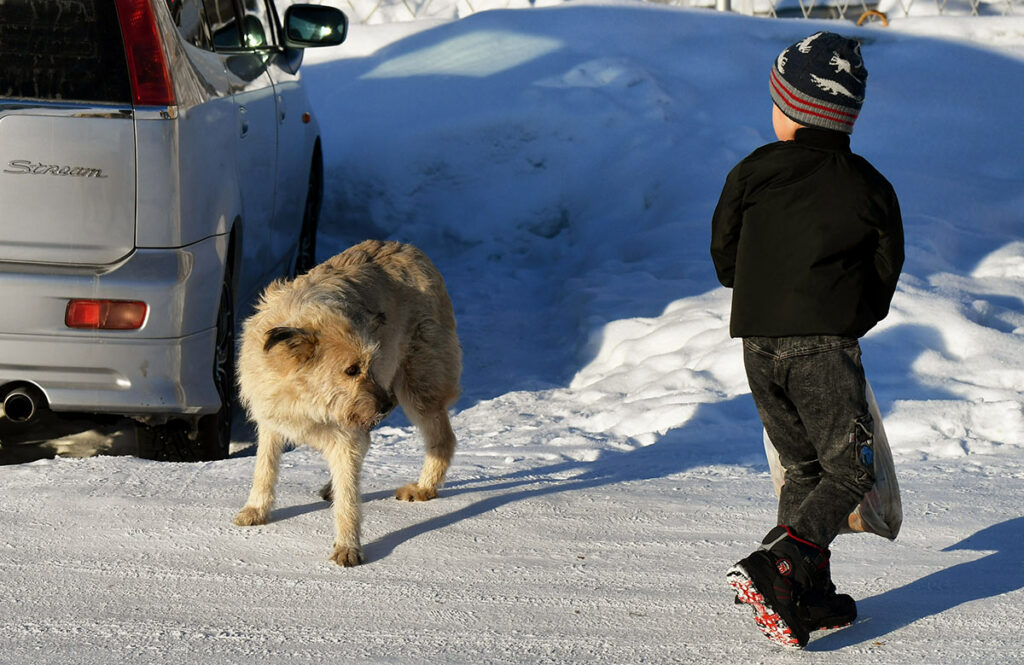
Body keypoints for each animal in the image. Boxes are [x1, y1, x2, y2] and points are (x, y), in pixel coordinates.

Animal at [234, 238, 462, 565]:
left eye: (369, 364)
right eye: (351, 370)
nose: (384, 406)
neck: (304, 396)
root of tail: (407, 247)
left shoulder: (347, 434)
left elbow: (349, 498)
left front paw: (347, 546)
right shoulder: (271, 421)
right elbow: (264, 467)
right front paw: (256, 509)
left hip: (419, 385)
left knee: (442, 438)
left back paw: (424, 488)